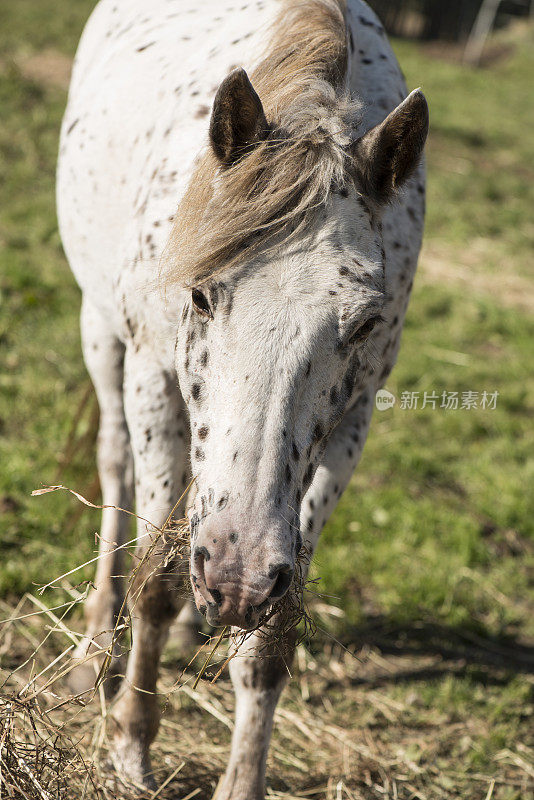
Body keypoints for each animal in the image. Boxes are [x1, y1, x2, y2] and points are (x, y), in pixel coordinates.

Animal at [56, 0, 430, 792]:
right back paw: (95, 645)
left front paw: (242, 780)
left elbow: (269, 642)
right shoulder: (151, 375)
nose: (238, 577)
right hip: (101, 331)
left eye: (364, 322)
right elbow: (157, 578)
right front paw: (132, 741)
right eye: (200, 294)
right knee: (115, 469)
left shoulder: (351, 424)